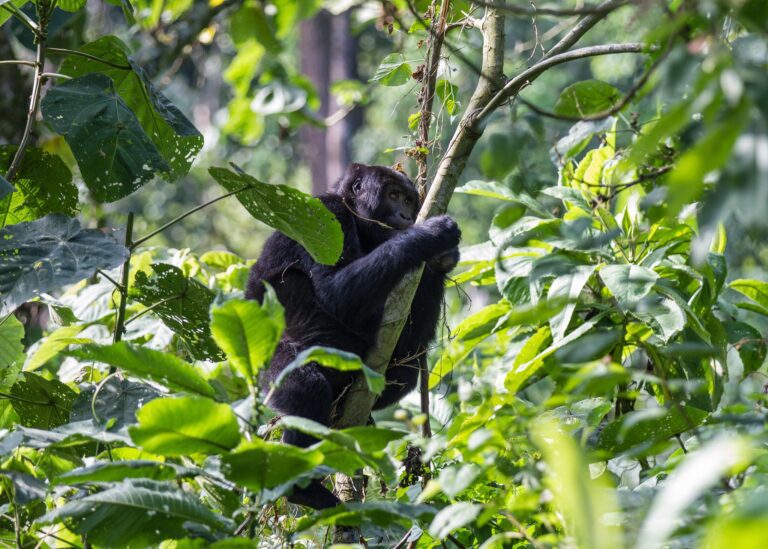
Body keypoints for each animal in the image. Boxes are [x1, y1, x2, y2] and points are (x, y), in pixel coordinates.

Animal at [249, 162, 460, 506]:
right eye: (392, 196)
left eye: (409, 200)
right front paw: (428, 236)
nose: (406, 216)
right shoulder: (328, 214)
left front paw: (442, 259)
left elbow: (410, 337)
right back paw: (302, 488)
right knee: (305, 388)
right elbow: (336, 293)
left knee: (405, 370)